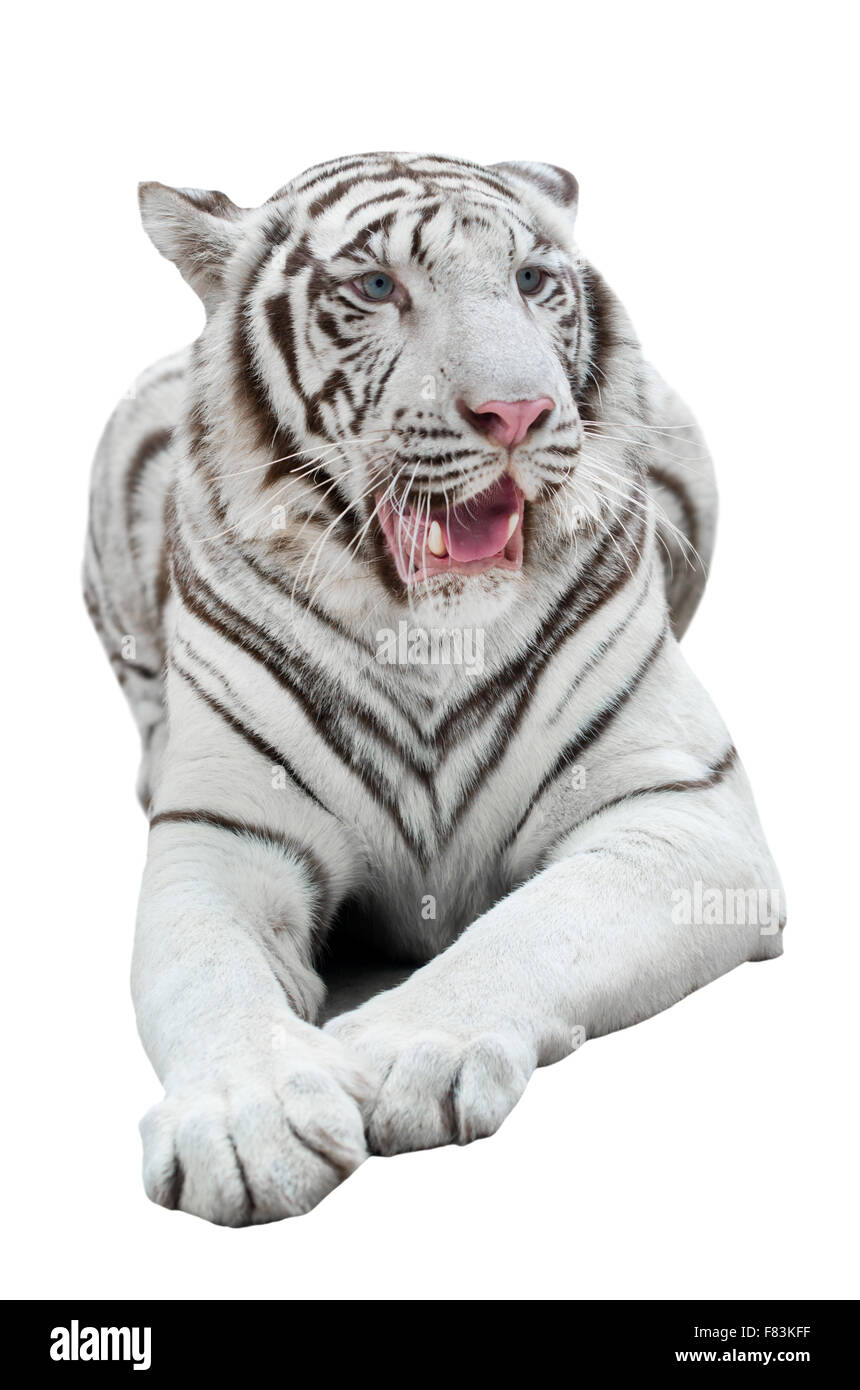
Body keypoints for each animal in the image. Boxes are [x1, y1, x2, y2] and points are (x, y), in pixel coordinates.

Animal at [84, 152, 784, 1226]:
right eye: (378, 288)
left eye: (532, 281)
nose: (518, 414)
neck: (433, 630)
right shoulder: (225, 835)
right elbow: (205, 976)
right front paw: (247, 1124)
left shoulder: (680, 810)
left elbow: (531, 930)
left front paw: (390, 1057)